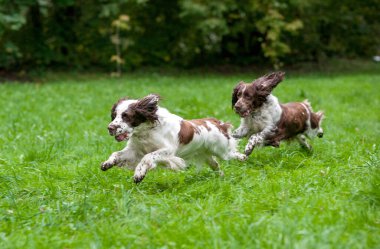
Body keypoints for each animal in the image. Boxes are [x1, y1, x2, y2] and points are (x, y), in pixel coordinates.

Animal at [101, 94, 246, 183]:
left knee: (232, 153)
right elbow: (116, 154)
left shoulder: (168, 150)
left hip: (221, 150)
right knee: (215, 164)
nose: (110, 128)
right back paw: (221, 176)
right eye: (114, 115)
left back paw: (243, 157)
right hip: (205, 154)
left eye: (126, 116)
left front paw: (139, 174)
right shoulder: (135, 150)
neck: (146, 132)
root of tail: (216, 122)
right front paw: (107, 163)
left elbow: (147, 157)